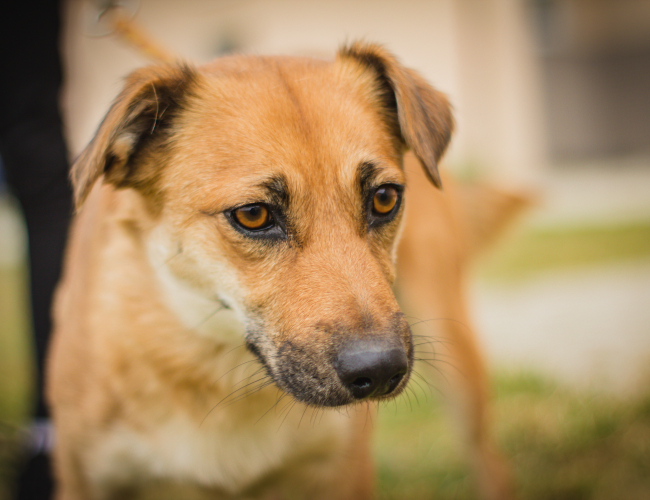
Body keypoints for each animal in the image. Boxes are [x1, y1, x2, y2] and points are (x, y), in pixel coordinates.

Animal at [46, 44, 516, 500]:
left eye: (384, 198)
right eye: (253, 215)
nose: (381, 370)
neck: (224, 371)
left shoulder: (344, 470)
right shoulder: (83, 477)